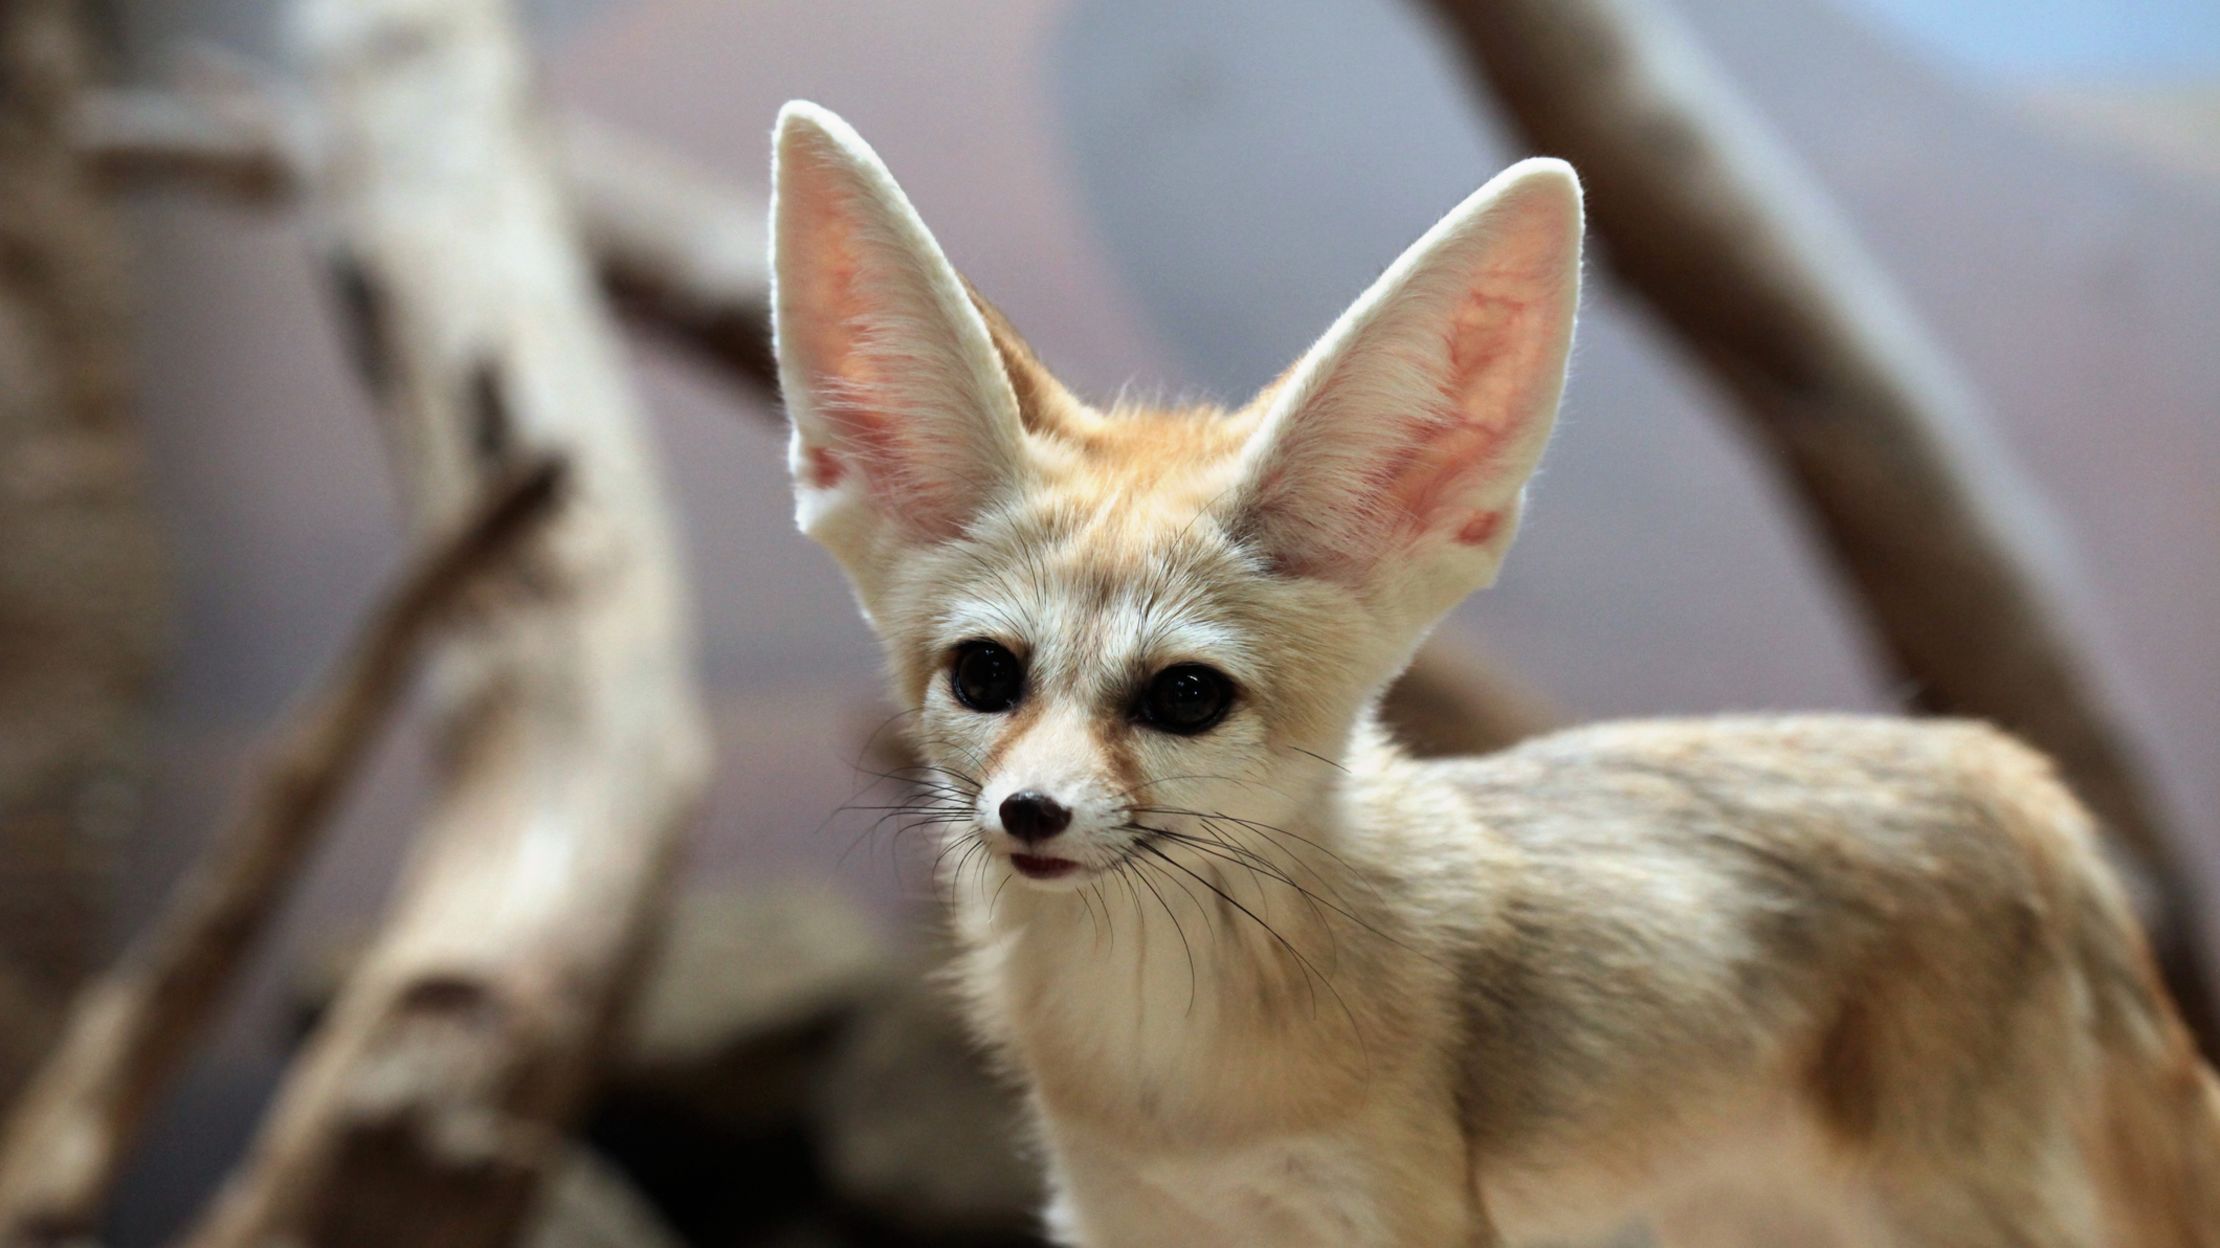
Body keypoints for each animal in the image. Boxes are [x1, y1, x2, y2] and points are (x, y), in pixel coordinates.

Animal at [768, 102, 2220, 1234]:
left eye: (1186, 696)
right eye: (986, 676)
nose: (1030, 812)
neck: (1170, 1081)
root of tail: (2017, 773)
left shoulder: (1403, 1213)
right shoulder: (1117, 1214)